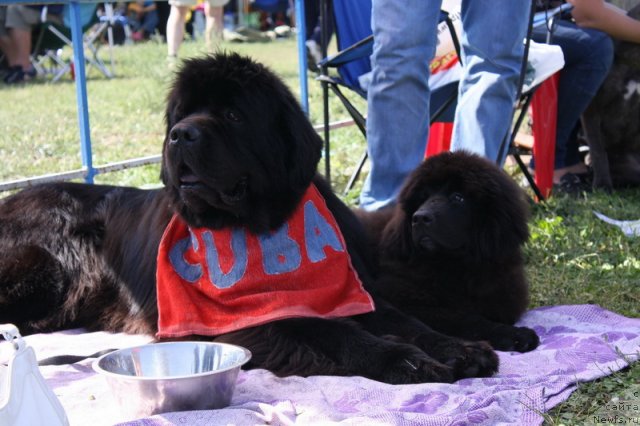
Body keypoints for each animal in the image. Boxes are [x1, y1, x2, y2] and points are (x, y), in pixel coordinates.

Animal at [0, 52, 498, 382]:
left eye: (233, 114)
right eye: (181, 115)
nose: (180, 135)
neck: (261, 225)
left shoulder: (358, 292)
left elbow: (405, 321)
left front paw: (460, 348)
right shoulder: (240, 320)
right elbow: (325, 329)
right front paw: (404, 360)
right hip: (45, 266)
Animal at [356, 152, 540, 352]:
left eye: (458, 198)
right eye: (423, 197)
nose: (419, 218)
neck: (455, 265)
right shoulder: (406, 301)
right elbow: (467, 319)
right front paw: (514, 334)